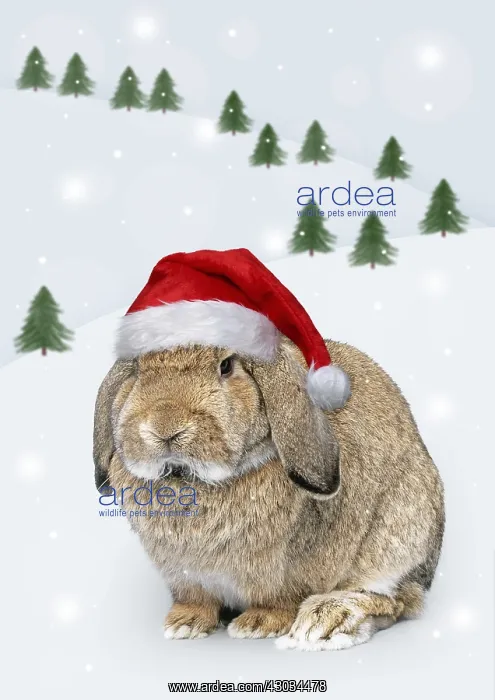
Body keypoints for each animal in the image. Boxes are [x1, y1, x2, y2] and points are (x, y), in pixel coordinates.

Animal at [93, 337, 444, 651]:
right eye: (138, 369)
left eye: (226, 365)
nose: (166, 428)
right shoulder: (185, 576)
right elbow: (195, 600)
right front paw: (184, 624)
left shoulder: (289, 570)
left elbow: (280, 599)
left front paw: (258, 625)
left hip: (399, 534)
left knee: (394, 600)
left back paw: (325, 620)